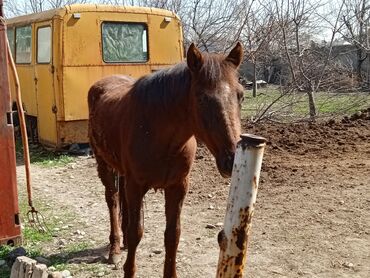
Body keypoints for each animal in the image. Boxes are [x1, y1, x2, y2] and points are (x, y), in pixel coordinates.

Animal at [88, 42, 244, 276]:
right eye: (201, 98)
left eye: (241, 95)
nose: (232, 159)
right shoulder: (136, 186)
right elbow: (136, 233)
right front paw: (128, 269)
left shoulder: (177, 187)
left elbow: (172, 235)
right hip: (104, 164)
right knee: (112, 200)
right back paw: (114, 248)